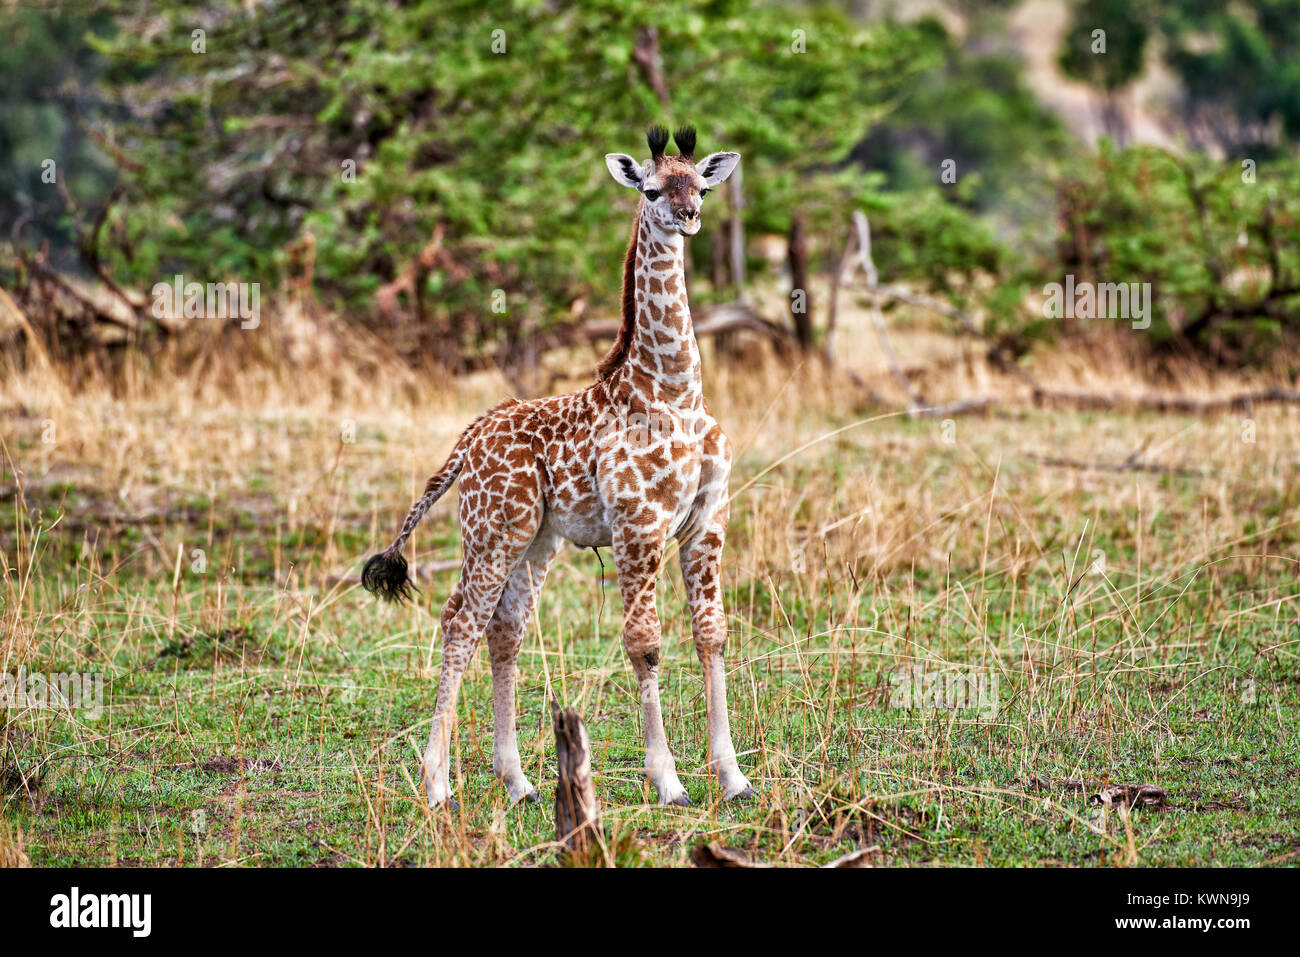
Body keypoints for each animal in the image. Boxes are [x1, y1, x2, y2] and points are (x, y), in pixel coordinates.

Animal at [361, 125, 759, 806]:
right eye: (652, 189)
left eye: (701, 187)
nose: (688, 217)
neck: (675, 393)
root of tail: (469, 440)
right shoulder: (637, 523)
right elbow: (645, 644)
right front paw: (669, 782)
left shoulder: (708, 523)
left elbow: (712, 633)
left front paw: (732, 777)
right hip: (494, 529)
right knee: (460, 622)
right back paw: (437, 784)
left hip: (536, 538)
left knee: (505, 629)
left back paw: (517, 780)